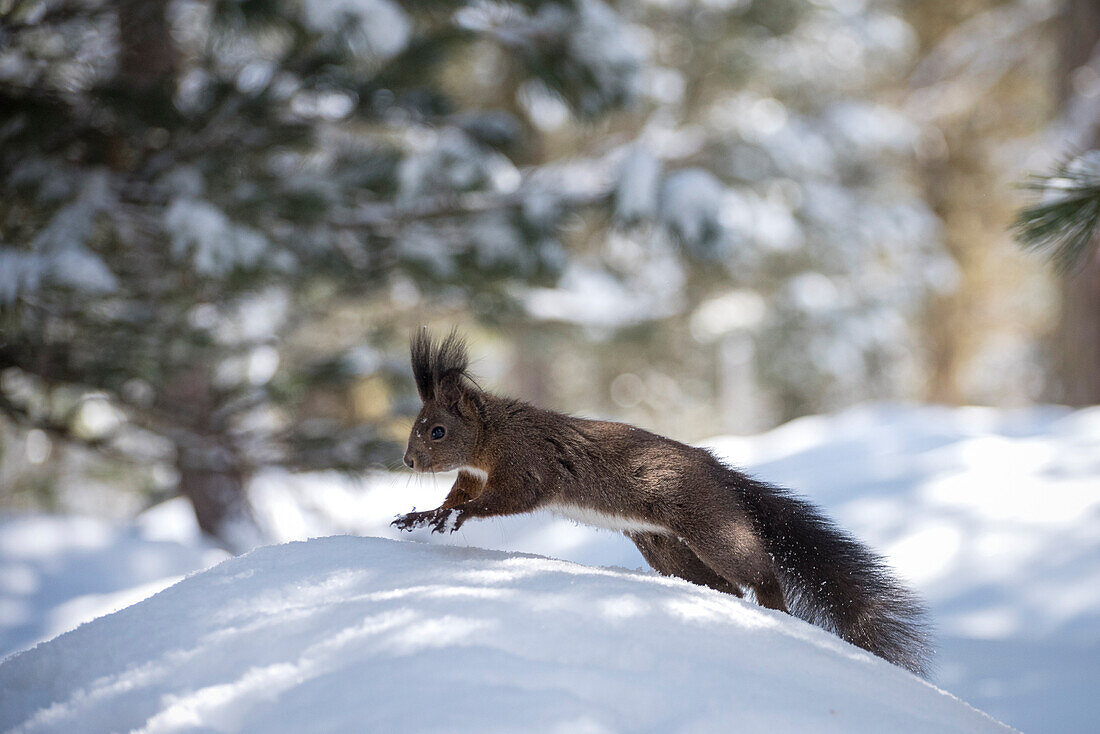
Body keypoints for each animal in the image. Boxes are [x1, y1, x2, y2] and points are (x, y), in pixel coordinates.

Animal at [391, 332, 932, 677]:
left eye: (436, 431)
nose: (408, 461)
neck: (490, 436)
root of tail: (721, 475)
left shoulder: (527, 463)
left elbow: (508, 498)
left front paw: (456, 518)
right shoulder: (472, 474)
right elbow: (456, 496)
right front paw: (423, 515)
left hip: (712, 525)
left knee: (756, 573)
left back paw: (777, 613)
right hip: (665, 546)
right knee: (719, 586)